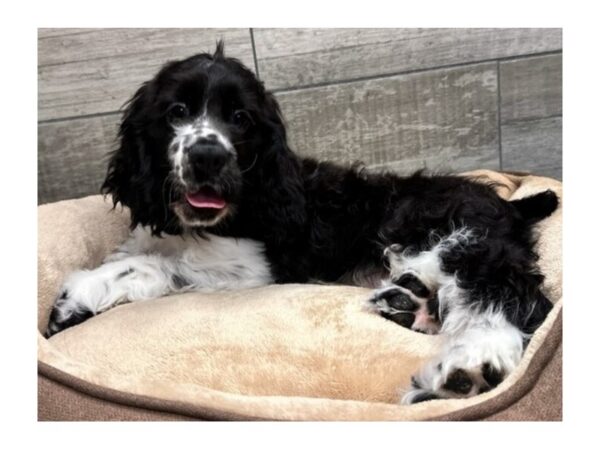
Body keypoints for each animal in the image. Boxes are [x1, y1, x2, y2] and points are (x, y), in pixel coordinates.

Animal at [45, 42, 556, 404]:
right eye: (177, 112)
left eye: (240, 118)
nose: (207, 155)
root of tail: (513, 205)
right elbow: (139, 256)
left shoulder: (256, 271)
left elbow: (162, 267)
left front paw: (75, 297)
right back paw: (409, 303)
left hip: (461, 235)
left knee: (511, 296)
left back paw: (470, 368)